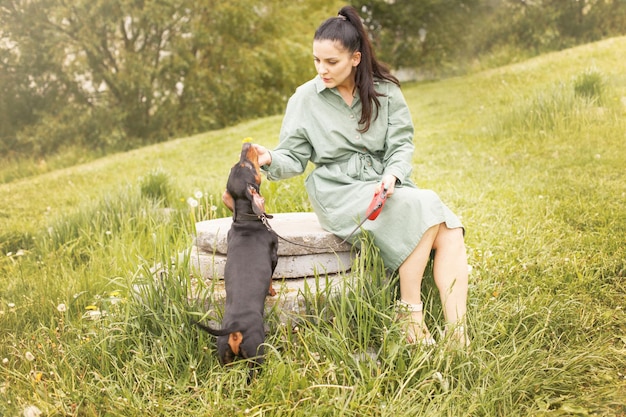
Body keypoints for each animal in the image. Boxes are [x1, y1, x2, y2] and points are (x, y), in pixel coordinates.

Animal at [196, 141, 276, 366]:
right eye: (246, 167)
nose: (247, 144)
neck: (246, 219)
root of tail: (235, 328)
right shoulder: (274, 255)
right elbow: (271, 278)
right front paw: (272, 291)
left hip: (224, 356)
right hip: (256, 352)